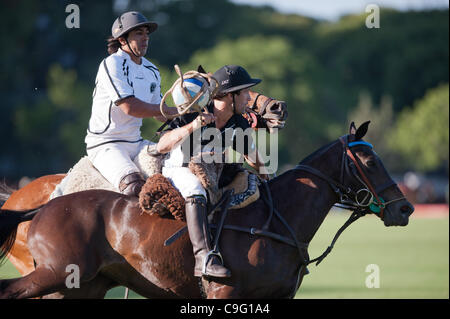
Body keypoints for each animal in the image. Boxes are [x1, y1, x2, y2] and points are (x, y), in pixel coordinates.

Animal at [0, 122, 414, 300]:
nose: (405, 208)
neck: (276, 220)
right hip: (57, 274)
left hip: (81, 287)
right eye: (369, 161)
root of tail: (40, 207)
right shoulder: (223, 294)